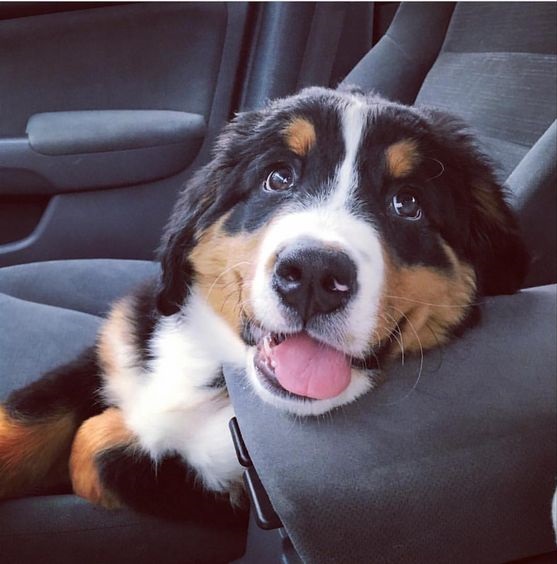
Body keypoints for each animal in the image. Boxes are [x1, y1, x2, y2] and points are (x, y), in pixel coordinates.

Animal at [0, 86, 524, 524]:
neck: (220, 370)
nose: (313, 274)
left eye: (408, 203)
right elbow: (25, 419)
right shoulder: (118, 343)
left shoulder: (231, 492)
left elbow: (94, 447)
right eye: (278, 178)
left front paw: (116, 431)